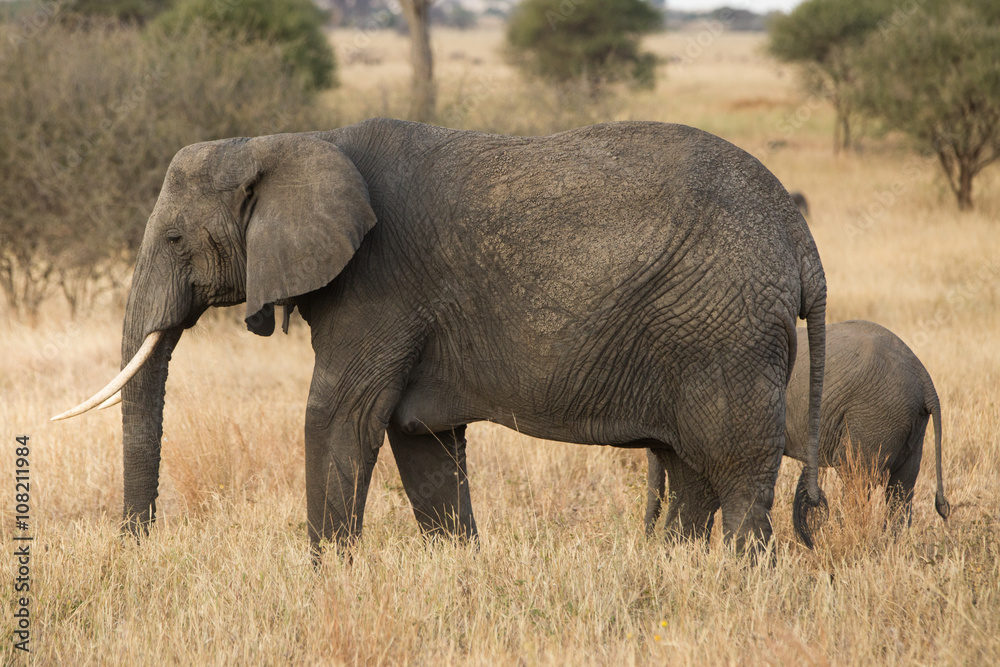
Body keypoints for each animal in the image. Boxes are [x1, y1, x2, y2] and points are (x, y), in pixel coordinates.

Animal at [53, 118, 828, 555]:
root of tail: (800, 237)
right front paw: (460, 569)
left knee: (735, 475)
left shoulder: (378, 287)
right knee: (692, 473)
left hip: (727, 332)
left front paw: (326, 576)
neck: (293, 141)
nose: (135, 549)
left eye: (176, 239)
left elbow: (338, 419)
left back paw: (742, 580)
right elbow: (420, 441)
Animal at [645, 319, 950, 539]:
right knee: (902, 488)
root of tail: (924, 378)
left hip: (876, 415)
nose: (648, 538)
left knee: (856, 477)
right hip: (908, 422)